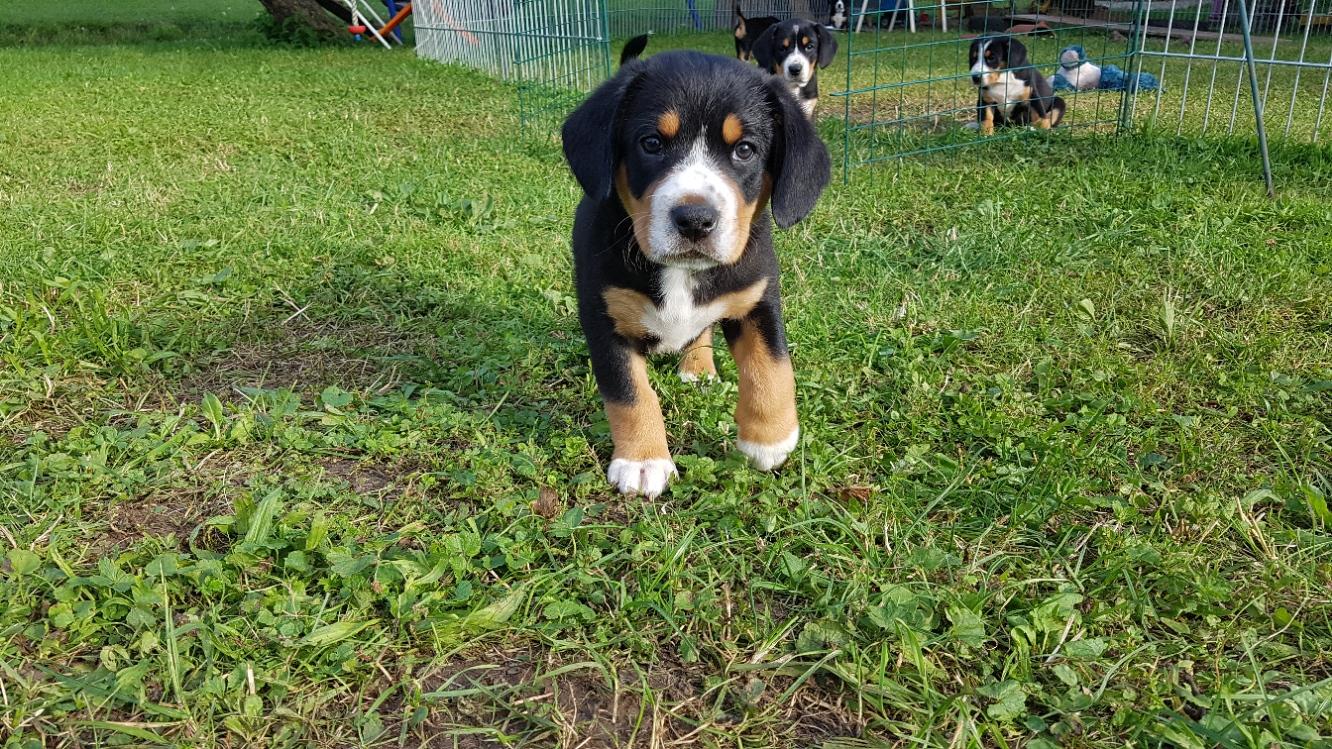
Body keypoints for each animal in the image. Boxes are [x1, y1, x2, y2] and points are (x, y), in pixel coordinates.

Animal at [560, 43, 830, 498]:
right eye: (651, 143)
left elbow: (772, 366)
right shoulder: (603, 313)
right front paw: (643, 459)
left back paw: (698, 367)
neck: (682, 272)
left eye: (745, 150)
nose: (695, 220)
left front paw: (769, 439)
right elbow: (629, 392)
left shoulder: (757, 296)